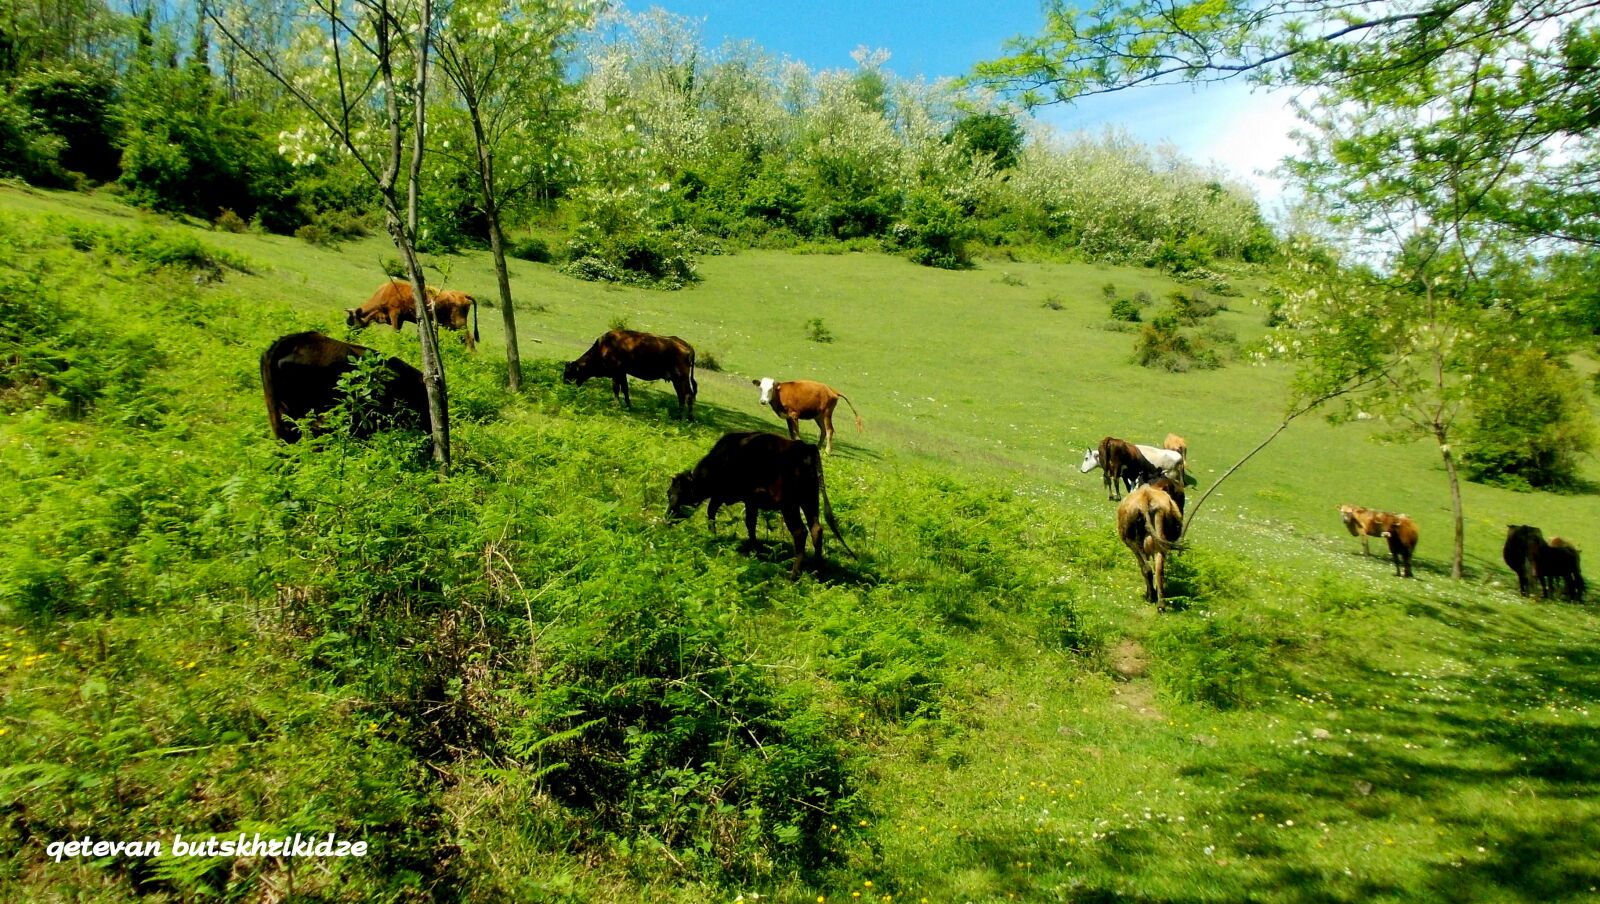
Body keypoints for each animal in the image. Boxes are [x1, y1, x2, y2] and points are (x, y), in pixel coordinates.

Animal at [345, 280, 480, 350]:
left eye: (353, 325)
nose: (347, 338)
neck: (384, 292)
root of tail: (462, 294)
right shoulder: (397, 318)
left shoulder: (395, 314)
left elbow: (394, 332)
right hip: (450, 325)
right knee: (462, 340)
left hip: (459, 323)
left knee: (469, 339)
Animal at [563, 328, 694, 419]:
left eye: (570, 372)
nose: (565, 383)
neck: (603, 348)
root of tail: (687, 346)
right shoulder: (622, 373)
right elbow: (625, 389)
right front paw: (628, 406)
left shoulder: (617, 373)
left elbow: (616, 388)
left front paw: (616, 405)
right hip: (676, 380)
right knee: (681, 396)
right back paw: (678, 416)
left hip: (682, 378)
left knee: (688, 395)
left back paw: (688, 418)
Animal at [668, 432, 857, 579]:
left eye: (673, 495)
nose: (666, 518)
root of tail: (805, 448)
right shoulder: (740, 498)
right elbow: (746, 522)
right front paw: (753, 549)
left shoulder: (735, 495)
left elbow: (723, 514)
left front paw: (717, 539)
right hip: (809, 500)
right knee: (816, 529)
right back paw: (818, 570)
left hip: (789, 505)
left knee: (800, 532)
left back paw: (793, 576)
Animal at [1120, 483, 1184, 611]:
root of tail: (1146, 498)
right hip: (1159, 542)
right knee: (1159, 569)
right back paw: (1160, 604)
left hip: (1135, 543)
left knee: (1147, 568)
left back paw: (1151, 597)